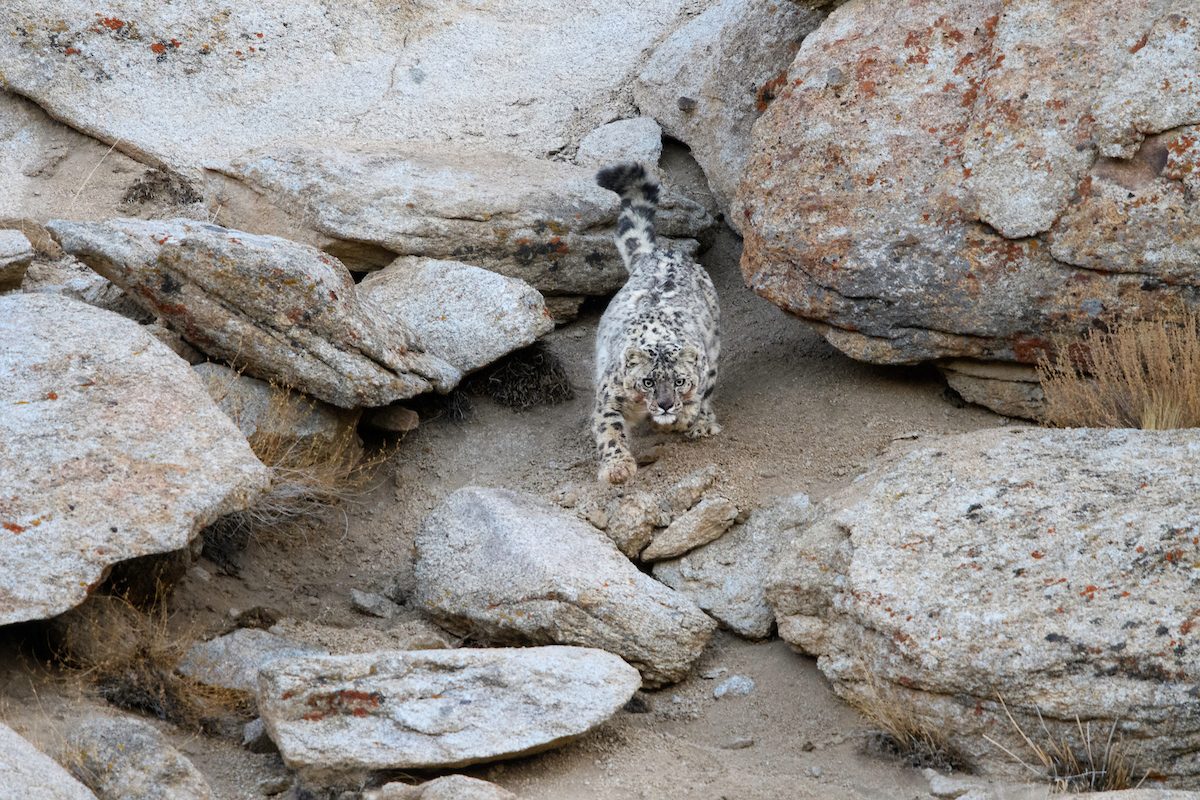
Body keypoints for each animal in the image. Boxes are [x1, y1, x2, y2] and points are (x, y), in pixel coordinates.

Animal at [591, 162, 721, 484]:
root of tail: (661, 251)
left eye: (679, 381)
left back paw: (703, 423)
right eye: (647, 381)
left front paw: (679, 420)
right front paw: (617, 467)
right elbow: (610, 431)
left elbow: (689, 409)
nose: (664, 403)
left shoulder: (696, 385)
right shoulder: (609, 397)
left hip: (714, 346)